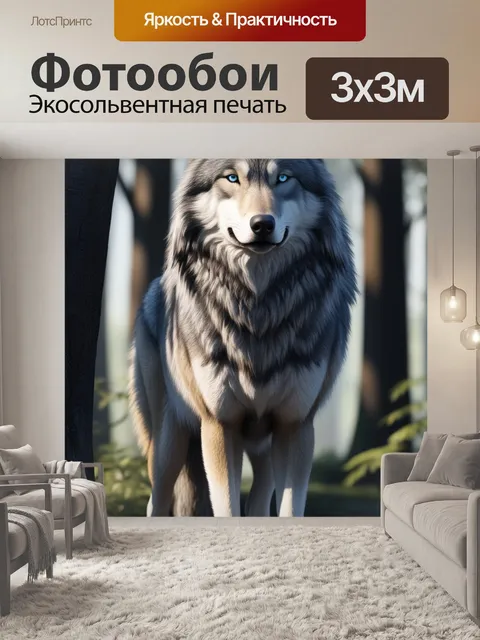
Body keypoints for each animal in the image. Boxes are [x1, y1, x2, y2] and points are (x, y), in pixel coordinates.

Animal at [128, 159, 357, 517]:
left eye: (283, 178)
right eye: (232, 178)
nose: (262, 224)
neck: (258, 315)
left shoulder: (295, 425)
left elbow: (289, 510)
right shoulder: (220, 425)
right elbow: (227, 507)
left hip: (262, 448)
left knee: (260, 500)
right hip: (169, 444)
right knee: (157, 499)